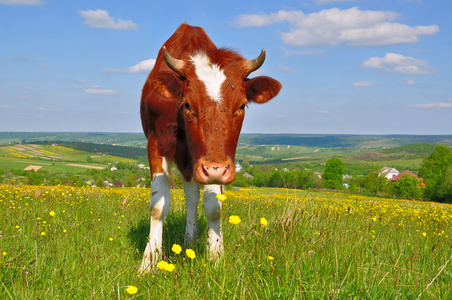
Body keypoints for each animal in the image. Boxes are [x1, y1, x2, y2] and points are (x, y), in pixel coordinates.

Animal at [139, 22, 280, 272]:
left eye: (242, 105)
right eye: (187, 104)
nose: (215, 169)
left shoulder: (217, 163)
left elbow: (214, 207)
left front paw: (215, 256)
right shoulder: (156, 142)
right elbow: (157, 205)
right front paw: (148, 262)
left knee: (193, 196)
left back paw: (189, 241)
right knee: (190, 194)